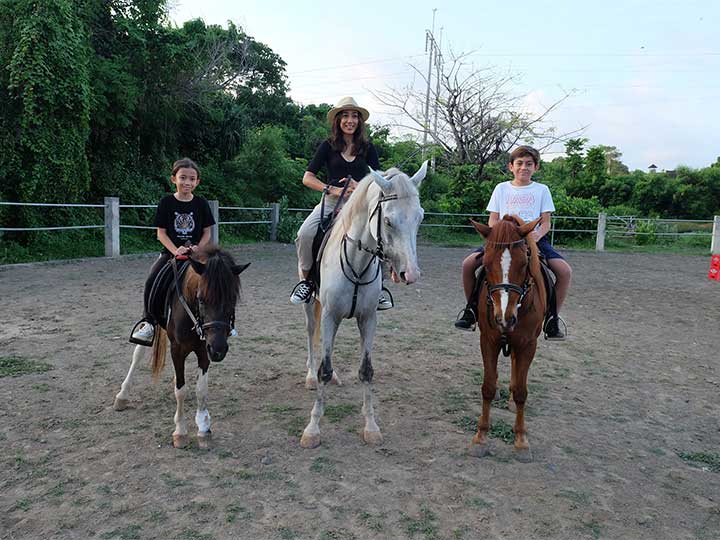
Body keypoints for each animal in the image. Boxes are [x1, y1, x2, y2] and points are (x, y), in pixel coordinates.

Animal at [111, 247, 249, 450]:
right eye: (201, 299)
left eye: (232, 299)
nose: (219, 349)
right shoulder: (178, 349)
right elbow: (180, 391)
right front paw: (180, 431)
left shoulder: (204, 350)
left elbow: (201, 389)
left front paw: (203, 428)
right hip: (150, 321)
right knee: (138, 354)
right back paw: (122, 396)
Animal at [300, 160, 428, 448]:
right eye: (388, 220)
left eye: (420, 217)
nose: (411, 274)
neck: (357, 263)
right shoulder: (330, 316)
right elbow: (324, 370)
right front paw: (313, 429)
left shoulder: (368, 319)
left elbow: (367, 371)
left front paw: (370, 425)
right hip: (312, 306)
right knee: (312, 335)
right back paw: (310, 375)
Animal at [466, 214, 544, 460]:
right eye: (486, 263)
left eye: (524, 263)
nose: (505, 318)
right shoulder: (488, 340)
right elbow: (488, 387)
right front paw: (480, 438)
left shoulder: (528, 344)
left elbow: (521, 392)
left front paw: (521, 441)